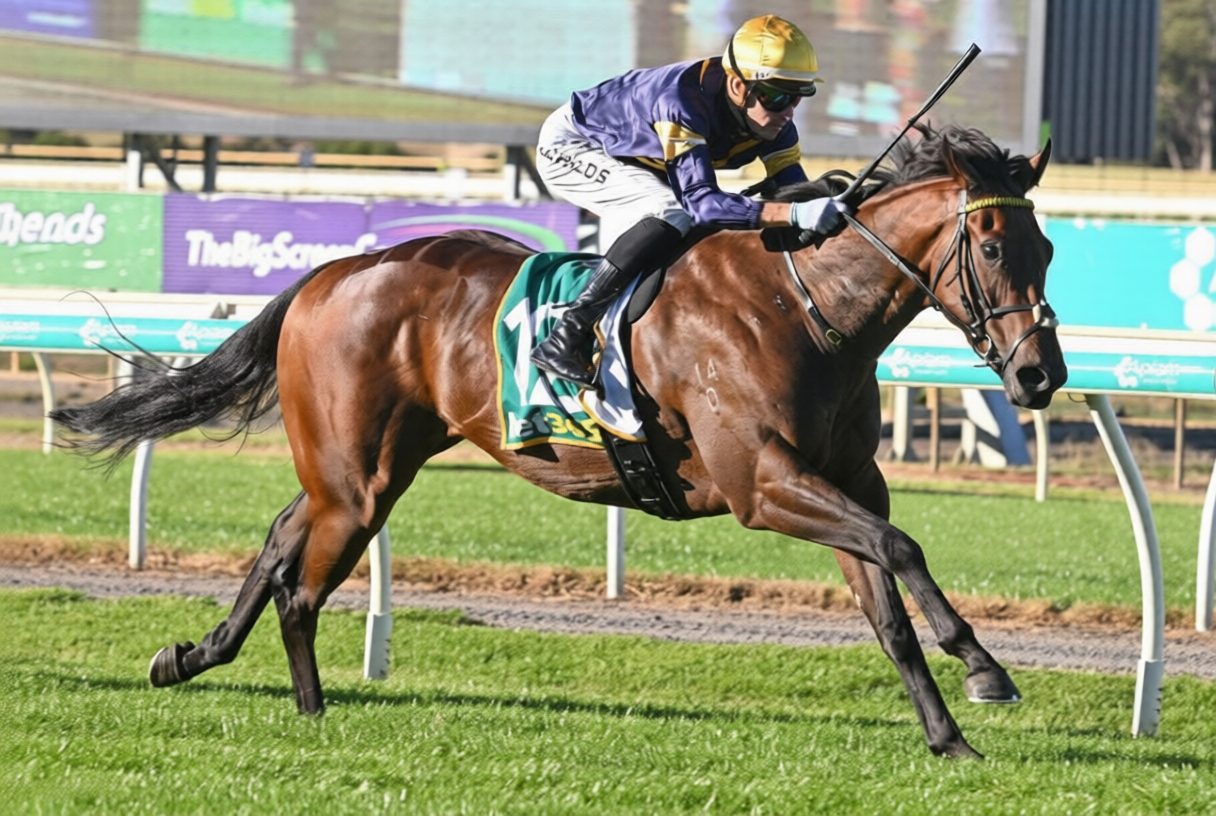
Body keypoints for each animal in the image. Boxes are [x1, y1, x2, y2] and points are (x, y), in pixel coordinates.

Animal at [51, 123, 1066, 758]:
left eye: (1048, 250)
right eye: (991, 249)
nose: (1038, 377)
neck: (802, 306)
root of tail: (334, 269)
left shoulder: (839, 478)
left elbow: (887, 599)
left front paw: (949, 734)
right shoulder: (762, 484)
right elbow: (904, 546)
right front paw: (983, 669)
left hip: (366, 463)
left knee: (277, 541)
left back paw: (197, 659)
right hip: (360, 475)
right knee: (303, 584)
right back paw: (307, 706)